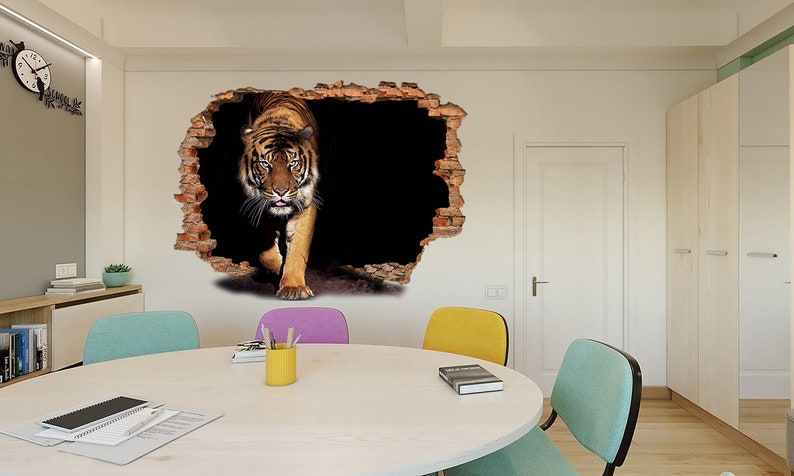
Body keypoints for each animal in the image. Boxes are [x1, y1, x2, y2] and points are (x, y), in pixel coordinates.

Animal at [238, 92, 320, 300]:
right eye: (265, 164)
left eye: (293, 163)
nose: (281, 191)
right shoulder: (258, 205)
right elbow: (266, 251)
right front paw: (277, 269)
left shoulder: (306, 205)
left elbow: (298, 249)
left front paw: (293, 287)